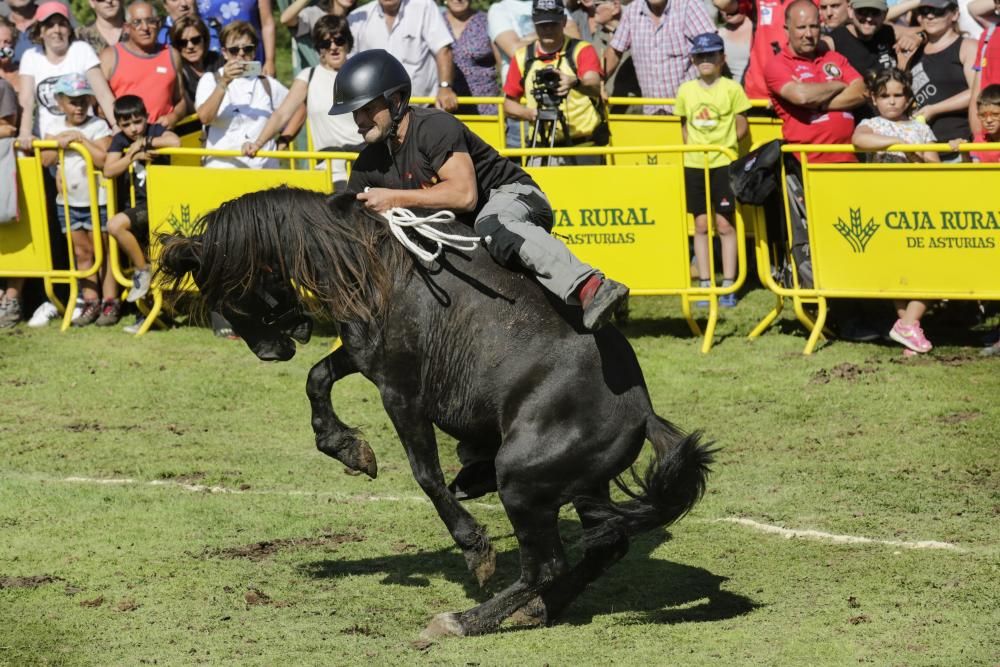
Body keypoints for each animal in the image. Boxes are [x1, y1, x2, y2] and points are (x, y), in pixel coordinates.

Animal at [160, 187, 716, 636]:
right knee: (602, 548)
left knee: (546, 566)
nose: (270, 352)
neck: (371, 261)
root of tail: (642, 413)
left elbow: (426, 473)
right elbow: (318, 379)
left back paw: (463, 620)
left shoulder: (401, 393)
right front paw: (349, 448)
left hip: (522, 480)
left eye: (228, 292)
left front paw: (474, 548)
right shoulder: (363, 356)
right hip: (583, 486)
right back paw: (533, 610)